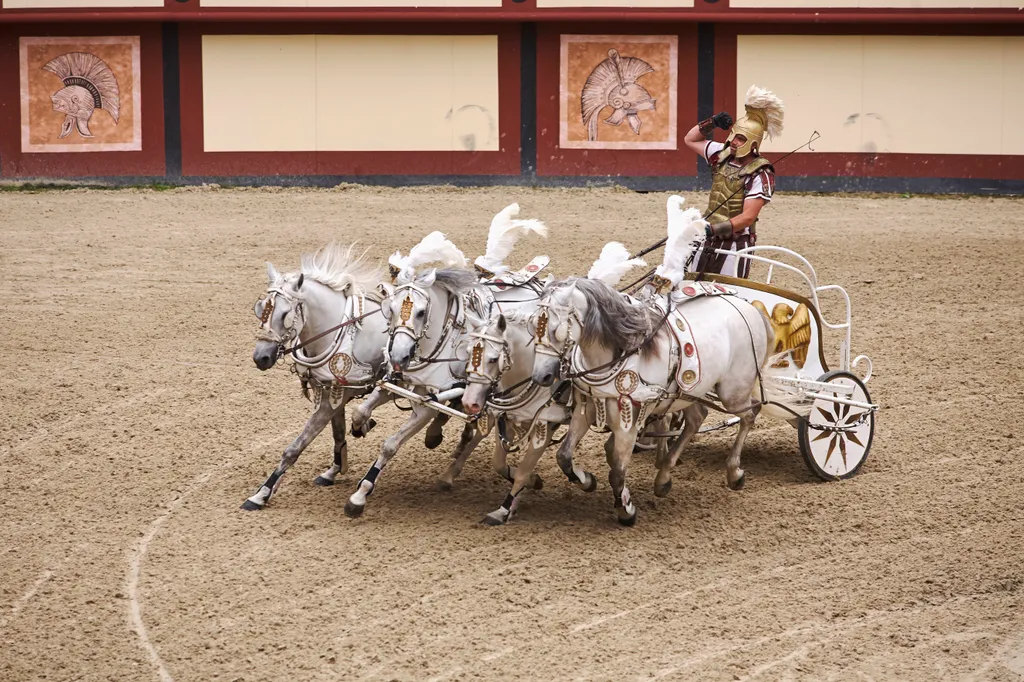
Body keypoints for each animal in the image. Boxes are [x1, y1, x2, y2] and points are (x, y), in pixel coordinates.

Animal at [244, 242, 395, 503]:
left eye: (285, 314)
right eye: (260, 308)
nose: (261, 357)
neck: (342, 330)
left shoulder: (339, 396)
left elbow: (296, 446)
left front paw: (262, 493)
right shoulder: (330, 390)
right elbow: (338, 433)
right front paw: (333, 470)